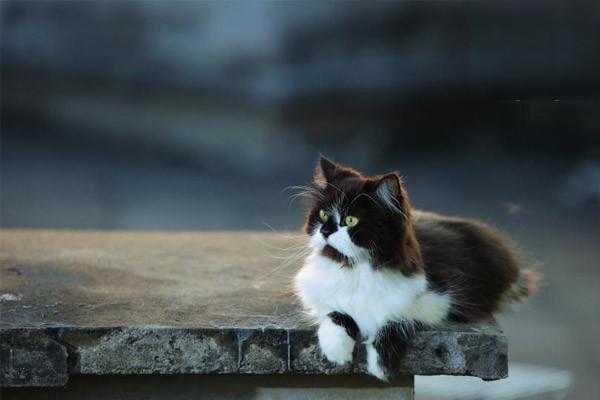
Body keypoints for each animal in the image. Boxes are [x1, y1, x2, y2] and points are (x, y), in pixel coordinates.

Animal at [292, 156, 536, 382]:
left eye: (350, 220)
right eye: (323, 215)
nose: (325, 230)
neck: (357, 268)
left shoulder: (437, 300)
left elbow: (395, 318)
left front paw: (380, 364)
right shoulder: (314, 294)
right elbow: (335, 312)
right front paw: (337, 351)